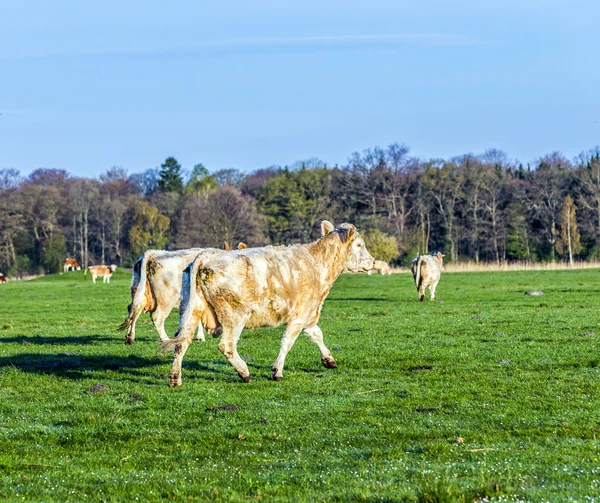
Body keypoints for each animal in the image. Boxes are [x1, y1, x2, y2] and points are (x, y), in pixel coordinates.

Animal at [162, 220, 372, 386]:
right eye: (359, 244)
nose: (372, 261)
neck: (316, 263)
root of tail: (207, 255)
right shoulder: (299, 316)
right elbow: (287, 342)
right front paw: (277, 371)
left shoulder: (308, 314)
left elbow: (317, 334)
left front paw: (329, 360)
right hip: (234, 316)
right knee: (226, 346)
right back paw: (244, 373)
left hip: (190, 311)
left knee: (181, 342)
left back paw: (175, 378)